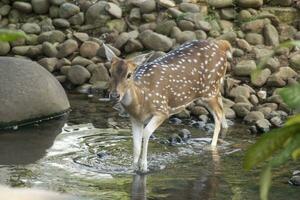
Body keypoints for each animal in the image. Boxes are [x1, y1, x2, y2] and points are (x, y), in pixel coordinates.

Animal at [104, 39, 231, 173]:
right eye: (110, 73)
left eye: (129, 75)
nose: (114, 95)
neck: (141, 101)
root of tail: (222, 44)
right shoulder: (135, 119)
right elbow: (136, 145)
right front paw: (133, 168)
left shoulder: (162, 110)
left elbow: (146, 133)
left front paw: (144, 167)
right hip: (214, 90)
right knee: (221, 105)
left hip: (209, 90)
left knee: (218, 115)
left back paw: (211, 146)